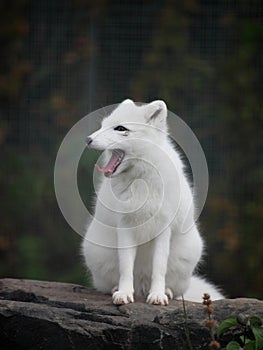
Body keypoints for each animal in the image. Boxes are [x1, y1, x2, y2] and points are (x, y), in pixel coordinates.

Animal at [81, 100, 224, 304]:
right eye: (103, 125)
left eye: (120, 128)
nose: (88, 139)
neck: (141, 181)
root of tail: (141, 286)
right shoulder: (125, 226)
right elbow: (126, 267)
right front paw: (124, 293)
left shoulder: (163, 228)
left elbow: (159, 267)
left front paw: (157, 295)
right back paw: (118, 288)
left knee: (174, 287)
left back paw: (166, 291)